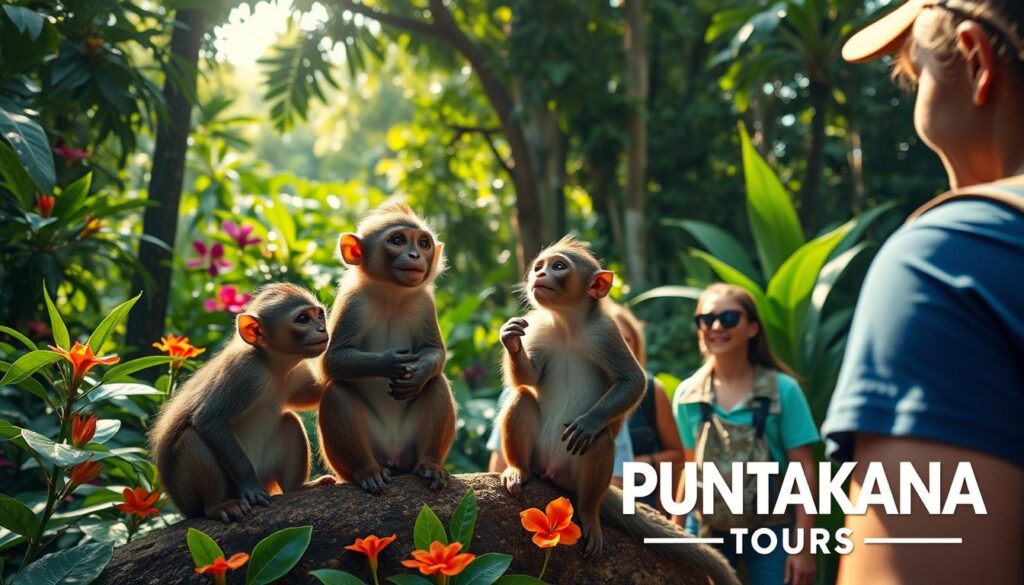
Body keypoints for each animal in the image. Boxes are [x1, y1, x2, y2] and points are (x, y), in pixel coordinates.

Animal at [149, 283, 336, 522]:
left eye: (320, 315)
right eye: (303, 319)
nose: (322, 329)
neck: (274, 366)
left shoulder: (298, 373)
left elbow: (317, 394)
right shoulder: (245, 373)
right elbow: (209, 420)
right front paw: (250, 486)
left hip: (265, 471)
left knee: (288, 421)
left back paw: (298, 487)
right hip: (194, 496)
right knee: (192, 438)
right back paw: (217, 506)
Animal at [317, 202, 456, 494]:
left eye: (424, 243)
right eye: (398, 240)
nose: (415, 254)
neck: (392, 295)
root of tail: (394, 457)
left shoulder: (424, 304)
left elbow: (435, 352)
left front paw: (417, 372)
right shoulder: (353, 304)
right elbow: (332, 361)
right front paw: (389, 363)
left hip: (409, 447)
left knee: (436, 382)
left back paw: (430, 465)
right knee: (337, 391)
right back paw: (366, 471)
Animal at [498, 237, 738, 584]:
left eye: (558, 266)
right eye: (540, 266)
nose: (539, 276)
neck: (567, 324)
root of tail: (550, 472)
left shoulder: (605, 333)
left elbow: (633, 381)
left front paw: (590, 421)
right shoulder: (540, 330)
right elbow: (528, 379)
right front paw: (510, 338)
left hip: (574, 476)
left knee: (598, 441)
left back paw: (588, 510)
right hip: (537, 458)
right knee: (523, 398)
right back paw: (518, 470)